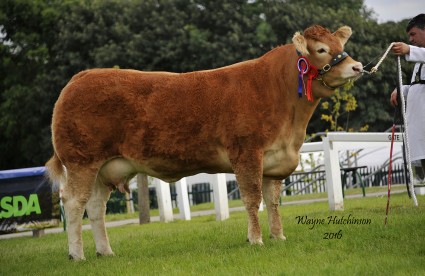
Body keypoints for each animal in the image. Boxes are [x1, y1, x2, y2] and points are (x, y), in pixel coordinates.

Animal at [45, 24, 362, 260]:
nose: (358, 66)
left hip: (104, 168)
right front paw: (256, 240)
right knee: (74, 203)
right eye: (321, 50)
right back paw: (77, 255)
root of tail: (80, 78)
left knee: (95, 206)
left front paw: (278, 236)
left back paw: (105, 251)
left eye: (338, 43)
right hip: (81, 161)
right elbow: (252, 199)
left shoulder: (275, 158)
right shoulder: (247, 152)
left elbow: (272, 201)